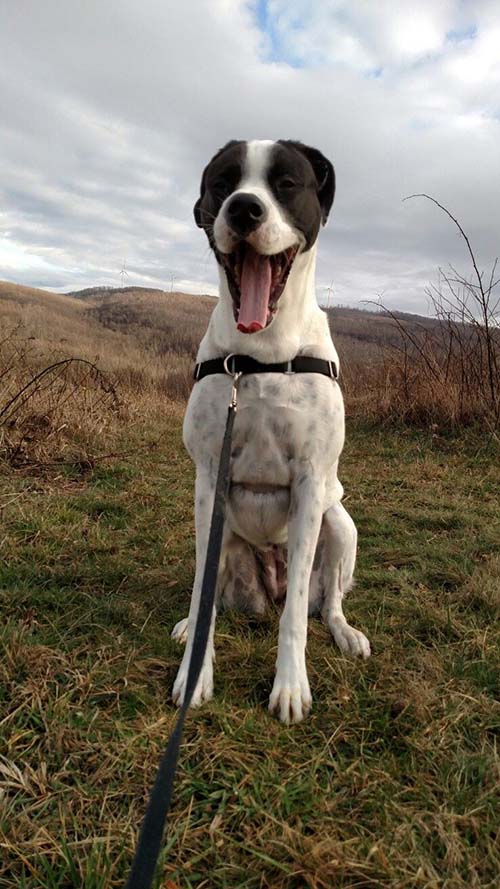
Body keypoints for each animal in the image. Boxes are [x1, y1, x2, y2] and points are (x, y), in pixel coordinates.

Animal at [170, 140, 370, 720]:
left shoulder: (309, 482)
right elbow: (202, 593)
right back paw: (191, 624)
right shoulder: (208, 478)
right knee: (210, 593)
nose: (244, 209)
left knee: (325, 603)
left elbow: (298, 614)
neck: (258, 357)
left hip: (339, 524)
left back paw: (345, 633)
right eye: (224, 182)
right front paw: (196, 671)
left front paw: (290, 686)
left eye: (286, 183)